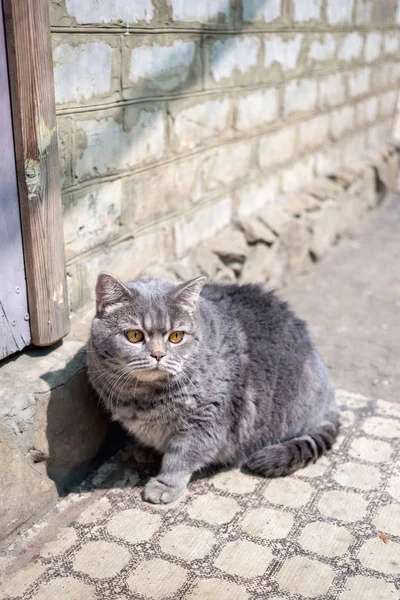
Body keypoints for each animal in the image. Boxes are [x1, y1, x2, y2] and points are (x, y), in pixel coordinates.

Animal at [88, 274, 338, 504]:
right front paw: (143, 448)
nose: (158, 355)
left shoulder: (206, 422)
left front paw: (164, 485)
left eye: (176, 336)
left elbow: (182, 458)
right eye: (134, 335)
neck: (144, 397)